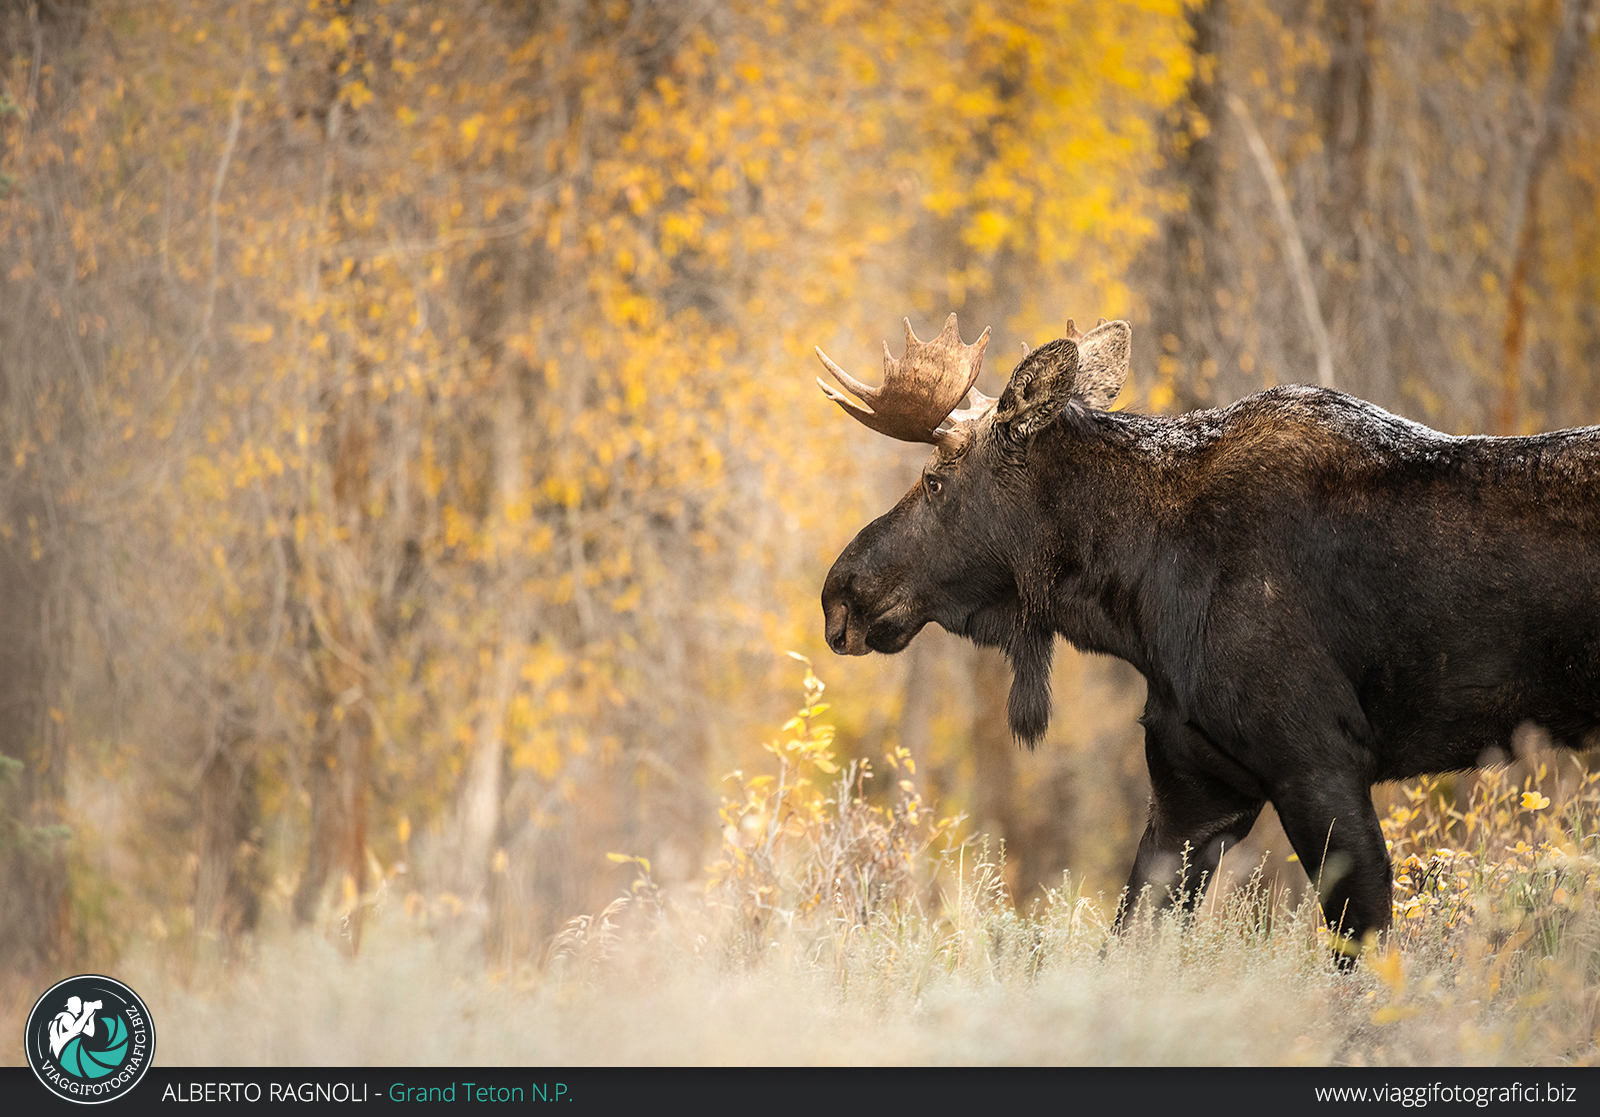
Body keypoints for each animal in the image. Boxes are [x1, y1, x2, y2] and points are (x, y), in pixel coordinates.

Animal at [819, 313, 1600, 960]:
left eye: (935, 479)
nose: (838, 594)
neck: (1140, 601)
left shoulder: (1317, 758)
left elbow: (1366, 947)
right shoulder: (1195, 785)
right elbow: (1129, 937)